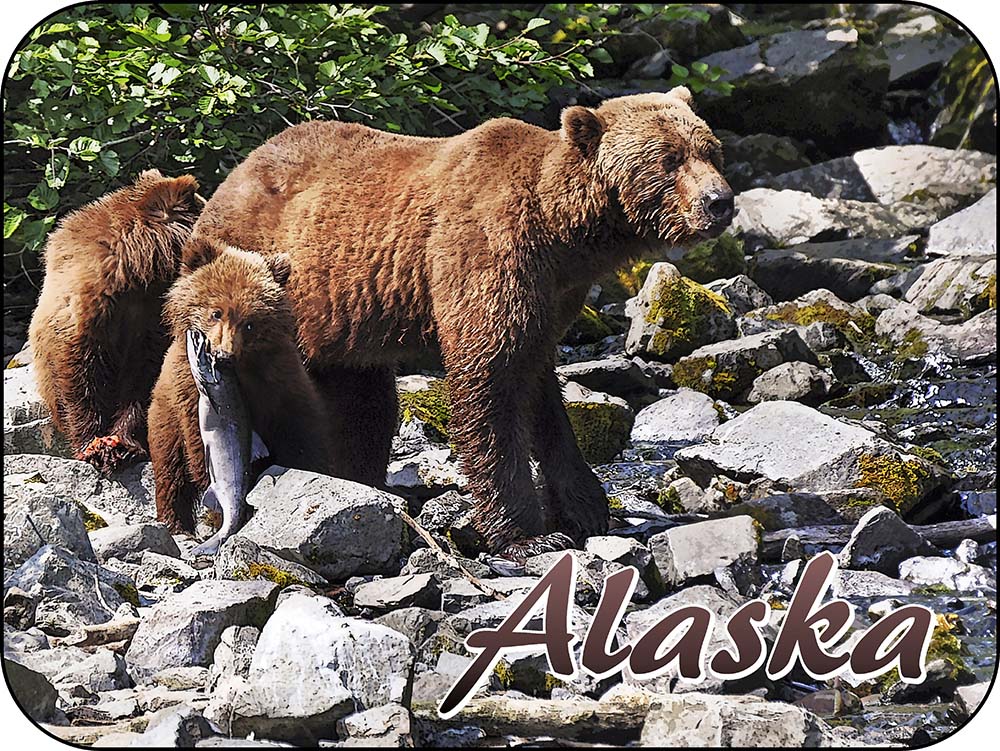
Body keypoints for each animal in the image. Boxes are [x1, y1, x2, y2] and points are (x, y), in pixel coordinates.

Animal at [27, 173, 201, 472]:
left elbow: (144, 376)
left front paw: (122, 444)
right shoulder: (83, 313)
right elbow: (79, 374)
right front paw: (94, 445)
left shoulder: (150, 318)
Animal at [148, 244, 334, 532]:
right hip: (166, 417)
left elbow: (302, 440)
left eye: (250, 323)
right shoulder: (189, 394)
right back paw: (176, 523)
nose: (224, 354)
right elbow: (200, 452)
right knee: (171, 470)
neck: (242, 373)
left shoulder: (280, 385)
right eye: (216, 312)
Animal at [184, 88, 736, 560]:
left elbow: (541, 391)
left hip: (341, 320)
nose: (720, 201)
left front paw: (588, 509)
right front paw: (527, 534)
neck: (565, 234)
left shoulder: (551, 297)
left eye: (711, 150)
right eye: (669, 158)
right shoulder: (489, 254)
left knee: (363, 402)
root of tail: (231, 175)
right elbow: (490, 380)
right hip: (257, 280)